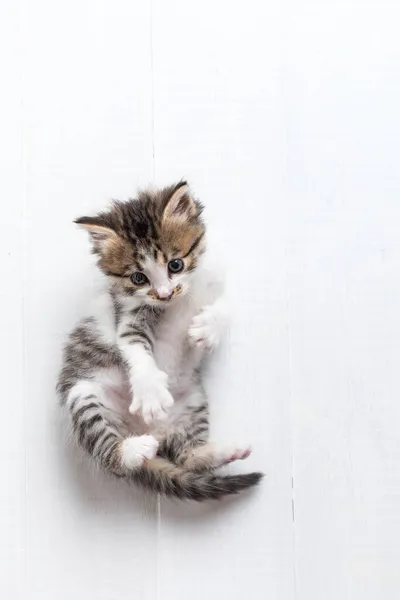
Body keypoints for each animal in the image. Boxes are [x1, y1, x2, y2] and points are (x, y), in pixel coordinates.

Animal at [57, 183, 262, 502]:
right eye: (138, 277)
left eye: (175, 264)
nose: (164, 293)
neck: (180, 299)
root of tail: (155, 433)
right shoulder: (128, 315)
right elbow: (133, 347)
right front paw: (150, 393)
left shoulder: (215, 281)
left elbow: (228, 305)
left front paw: (208, 328)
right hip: (83, 397)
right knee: (111, 457)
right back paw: (132, 451)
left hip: (194, 400)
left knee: (186, 457)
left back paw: (223, 450)